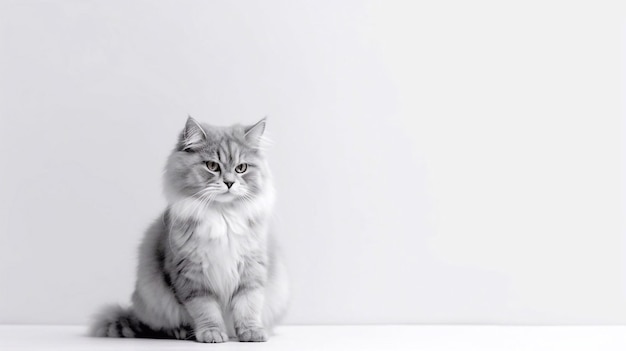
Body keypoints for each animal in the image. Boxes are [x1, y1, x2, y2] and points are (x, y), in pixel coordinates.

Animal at [89, 117, 288, 342]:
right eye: (212, 166)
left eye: (241, 168)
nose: (229, 183)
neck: (222, 216)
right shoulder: (192, 277)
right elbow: (206, 310)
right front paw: (212, 333)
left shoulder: (251, 271)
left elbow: (248, 306)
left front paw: (252, 333)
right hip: (154, 299)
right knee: (163, 326)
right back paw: (182, 332)